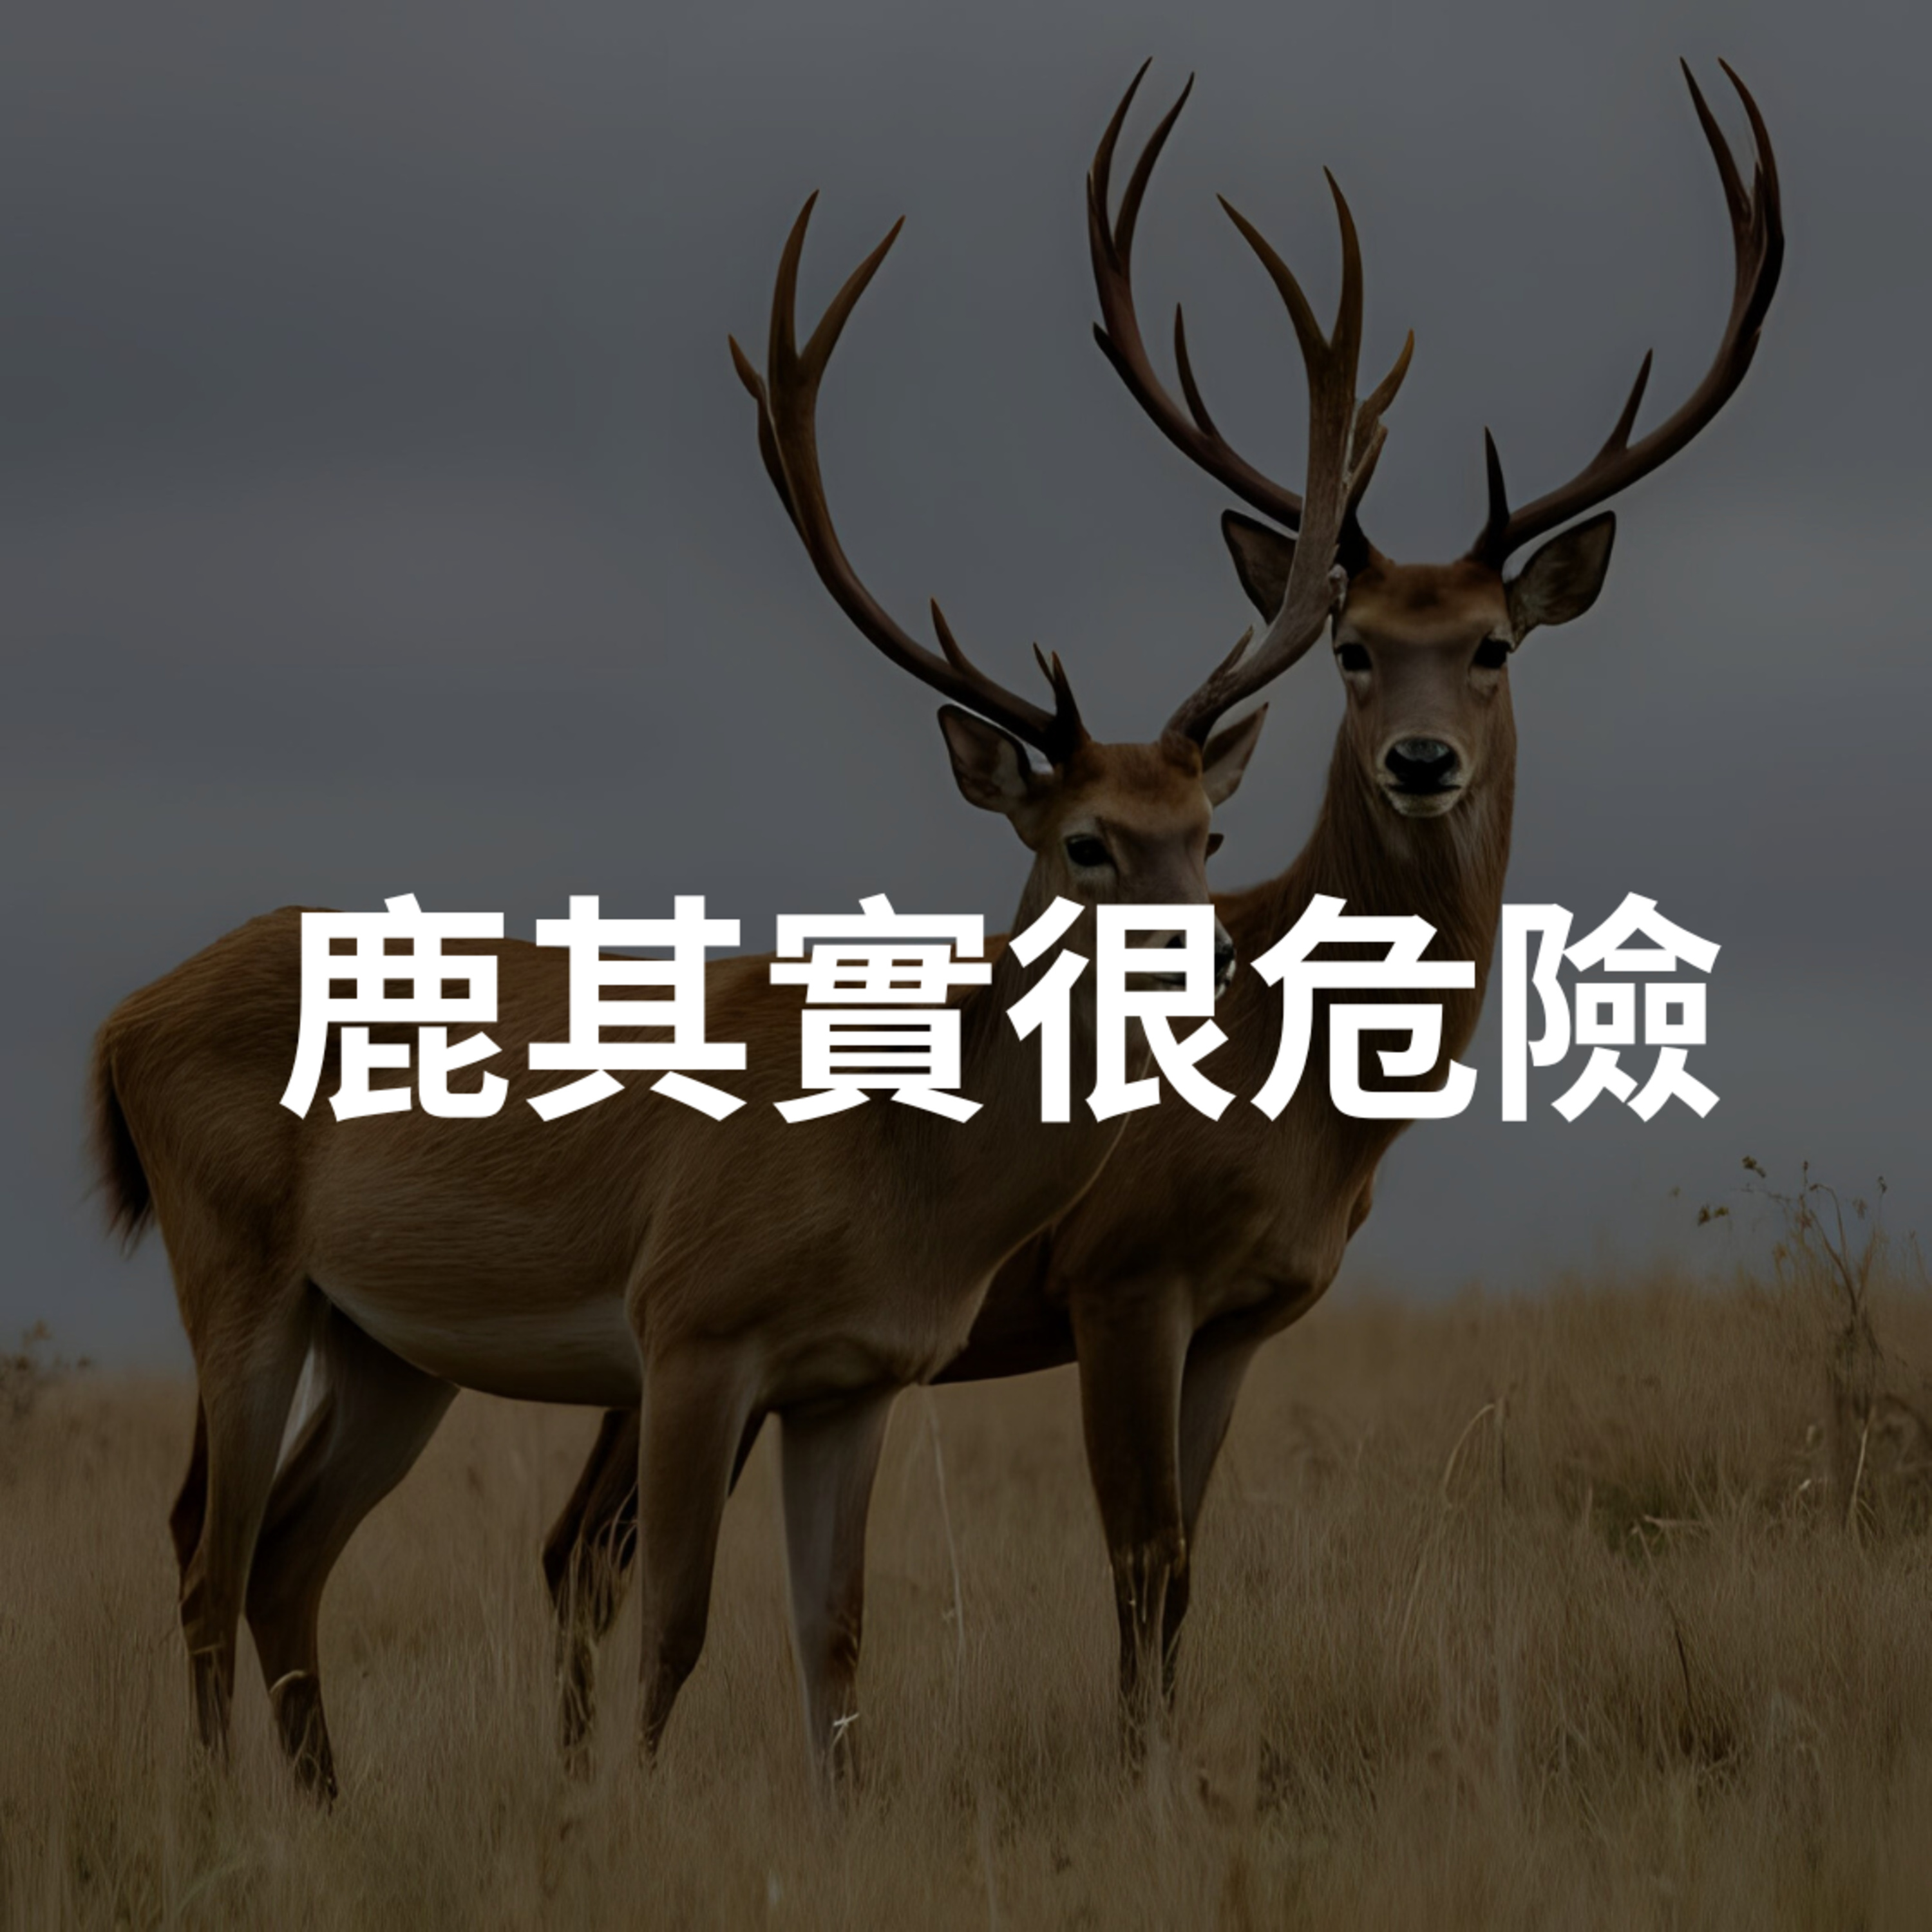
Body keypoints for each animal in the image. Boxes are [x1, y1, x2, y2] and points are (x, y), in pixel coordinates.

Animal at [89, 158, 1399, 1798]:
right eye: (1086, 840)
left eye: (1208, 828)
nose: (1220, 951)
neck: (897, 1164)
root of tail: (122, 1024)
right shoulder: (691, 1326)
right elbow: (673, 1620)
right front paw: (625, 1812)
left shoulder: (856, 1376)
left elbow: (832, 1641)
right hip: (234, 1260)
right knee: (210, 1551)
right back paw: (224, 1817)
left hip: (387, 1341)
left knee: (281, 1555)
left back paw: (326, 1810)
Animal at [536, 58, 1782, 1753]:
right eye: (1355, 648)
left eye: (1491, 645)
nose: (1420, 761)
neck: (1304, 1108)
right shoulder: (1124, 1277)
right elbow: (1139, 1561)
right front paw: (1141, 1778)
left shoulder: (1246, 1313)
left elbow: (1183, 1577)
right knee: (589, 1552)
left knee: (573, 1549)